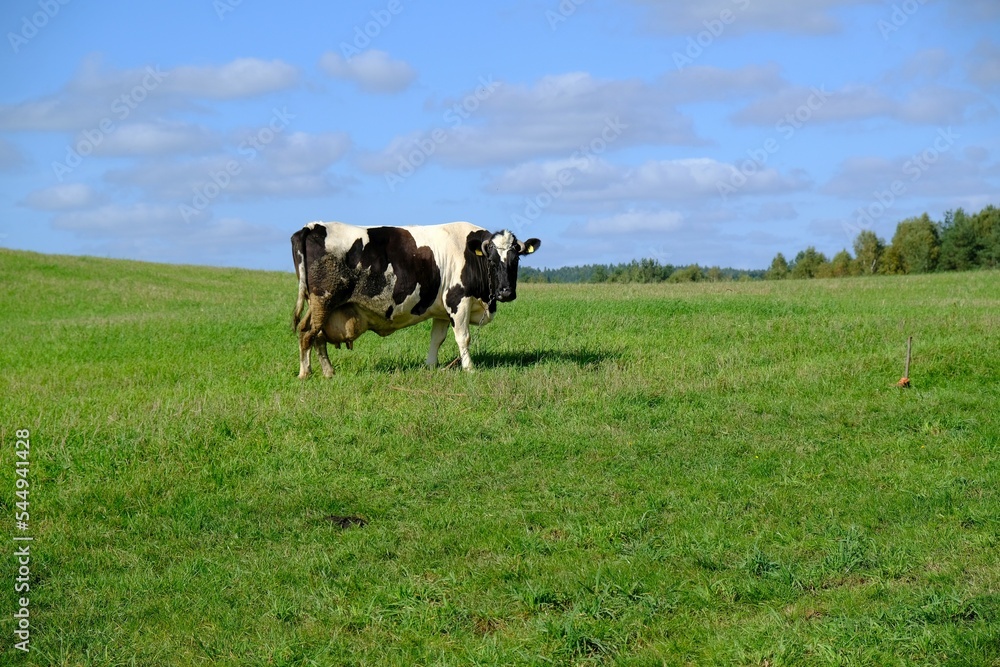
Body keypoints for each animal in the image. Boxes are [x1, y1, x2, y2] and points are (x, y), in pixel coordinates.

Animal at [290, 219, 540, 376]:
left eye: (516, 259)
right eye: (491, 260)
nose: (506, 292)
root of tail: (312, 226)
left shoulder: (442, 310)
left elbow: (436, 339)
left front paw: (430, 366)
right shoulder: (457, 300)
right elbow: (463, 338)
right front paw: (469, 368)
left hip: (320, 306)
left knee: (317, 336)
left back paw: (328, 372)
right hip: (324, 300)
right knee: (307, 334)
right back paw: (305, 373)